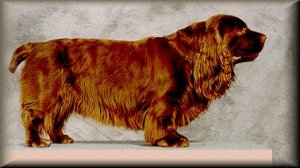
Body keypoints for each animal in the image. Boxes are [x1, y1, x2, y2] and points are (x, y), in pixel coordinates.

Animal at [8, 14, 266, 148]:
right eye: (242, 31)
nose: (264, 36)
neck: (190, 55)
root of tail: (36, 46)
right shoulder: (165, 100)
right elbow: (163, 120)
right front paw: (170, 139)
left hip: (64, 96)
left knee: (54, 119)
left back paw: (61, 138)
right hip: (46, 93)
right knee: (33, 117)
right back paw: (36, 142)